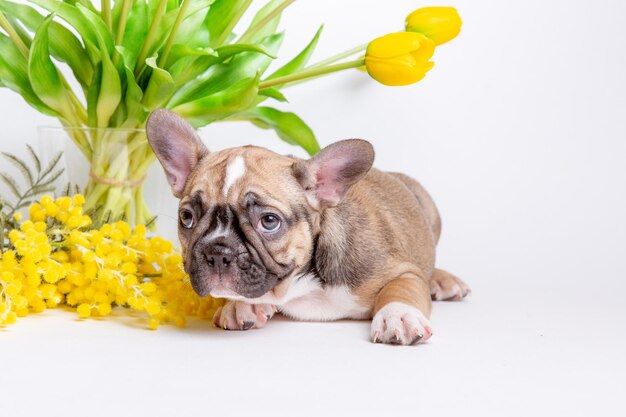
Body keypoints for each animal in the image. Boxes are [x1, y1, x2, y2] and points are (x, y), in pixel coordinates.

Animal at [146, 108, 468, 344]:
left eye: (269, 221)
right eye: (187, 217)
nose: (217, 251)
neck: (305, 284)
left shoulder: (402, 270)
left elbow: (401, 289)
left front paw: (398, 315)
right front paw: (242, 305)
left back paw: (442, 281)